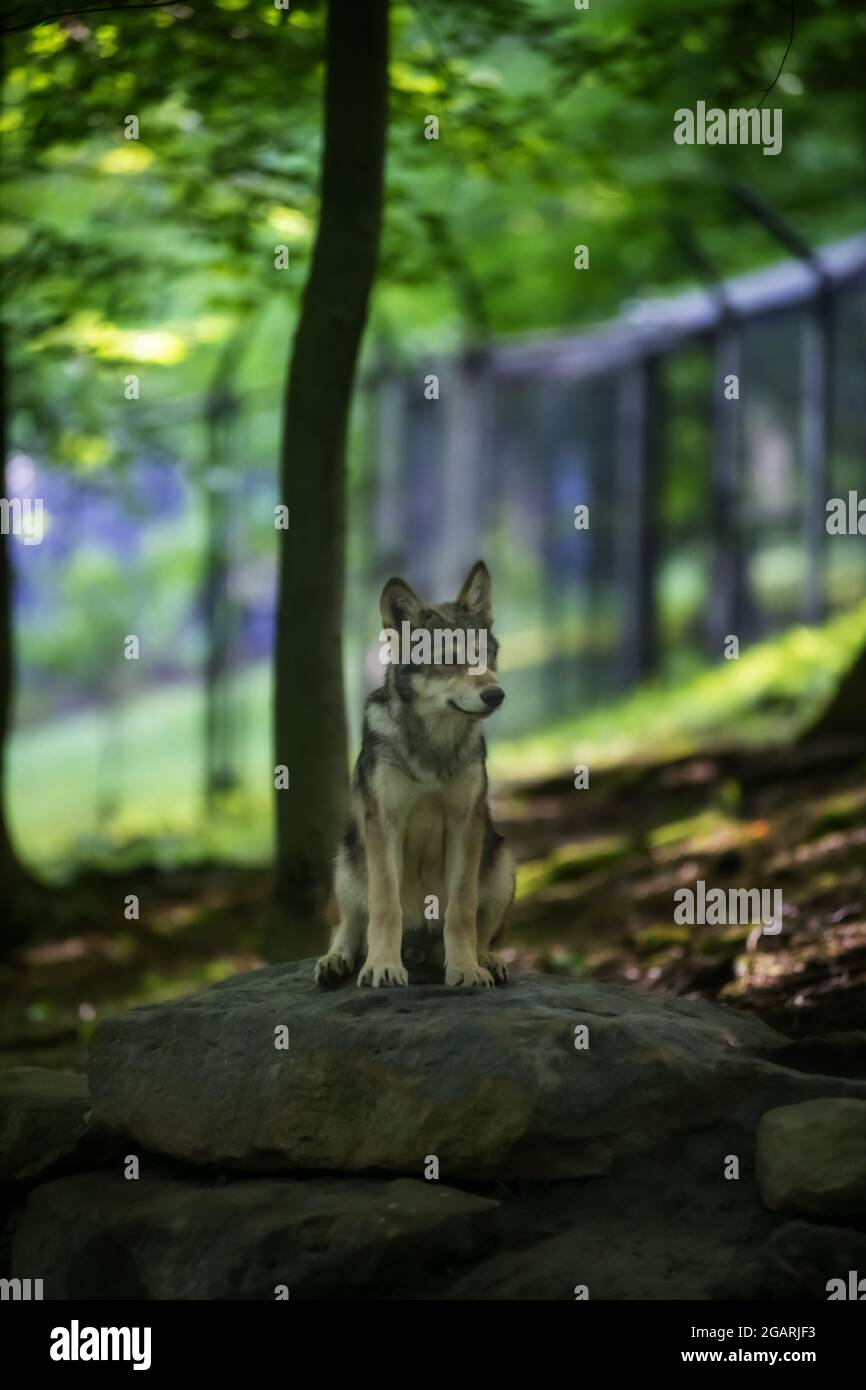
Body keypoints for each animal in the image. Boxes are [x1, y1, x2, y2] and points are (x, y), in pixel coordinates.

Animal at [315, 560, 515, 989]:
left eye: (487, 655)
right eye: (448, 658)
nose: (496, 694)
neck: (433, 744)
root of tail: (419, 948)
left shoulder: (465, 825)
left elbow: (462, 910)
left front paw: (465, 969)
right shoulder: (384, 825)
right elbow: (384, 907)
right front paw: (382, 966)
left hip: (503, 859)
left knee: (485, 931)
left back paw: (487, 960)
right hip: (345, 861)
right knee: (346, 927)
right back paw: (335, 961)